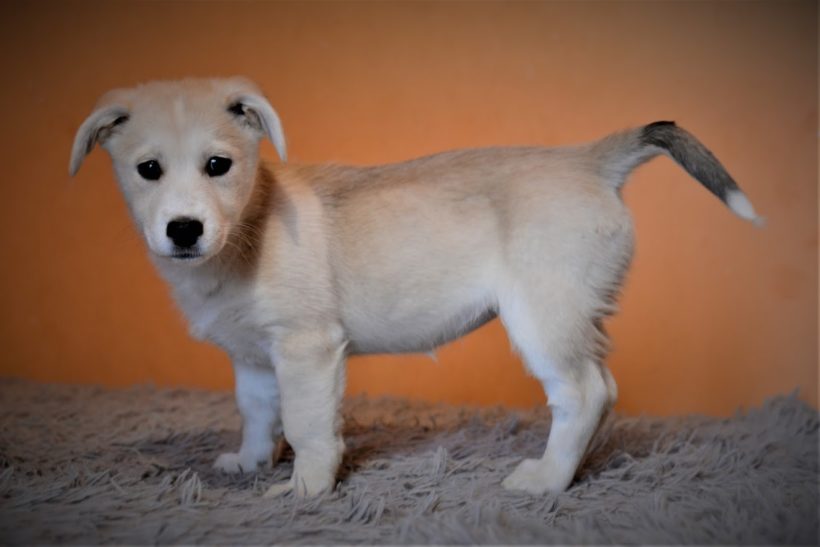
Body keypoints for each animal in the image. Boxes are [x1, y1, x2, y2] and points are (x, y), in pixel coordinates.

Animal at [69, 77, 762, 497]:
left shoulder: (307, 350)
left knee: (587, 393)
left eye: (219, 166)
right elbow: (259, 415)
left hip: (544, 318)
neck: (248, 230)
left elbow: (308, 425)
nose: (184, 230)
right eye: (148, 170)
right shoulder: (255, 360)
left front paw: (306, 490)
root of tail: (588, 160)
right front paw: (251, 462)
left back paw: (546, 480)